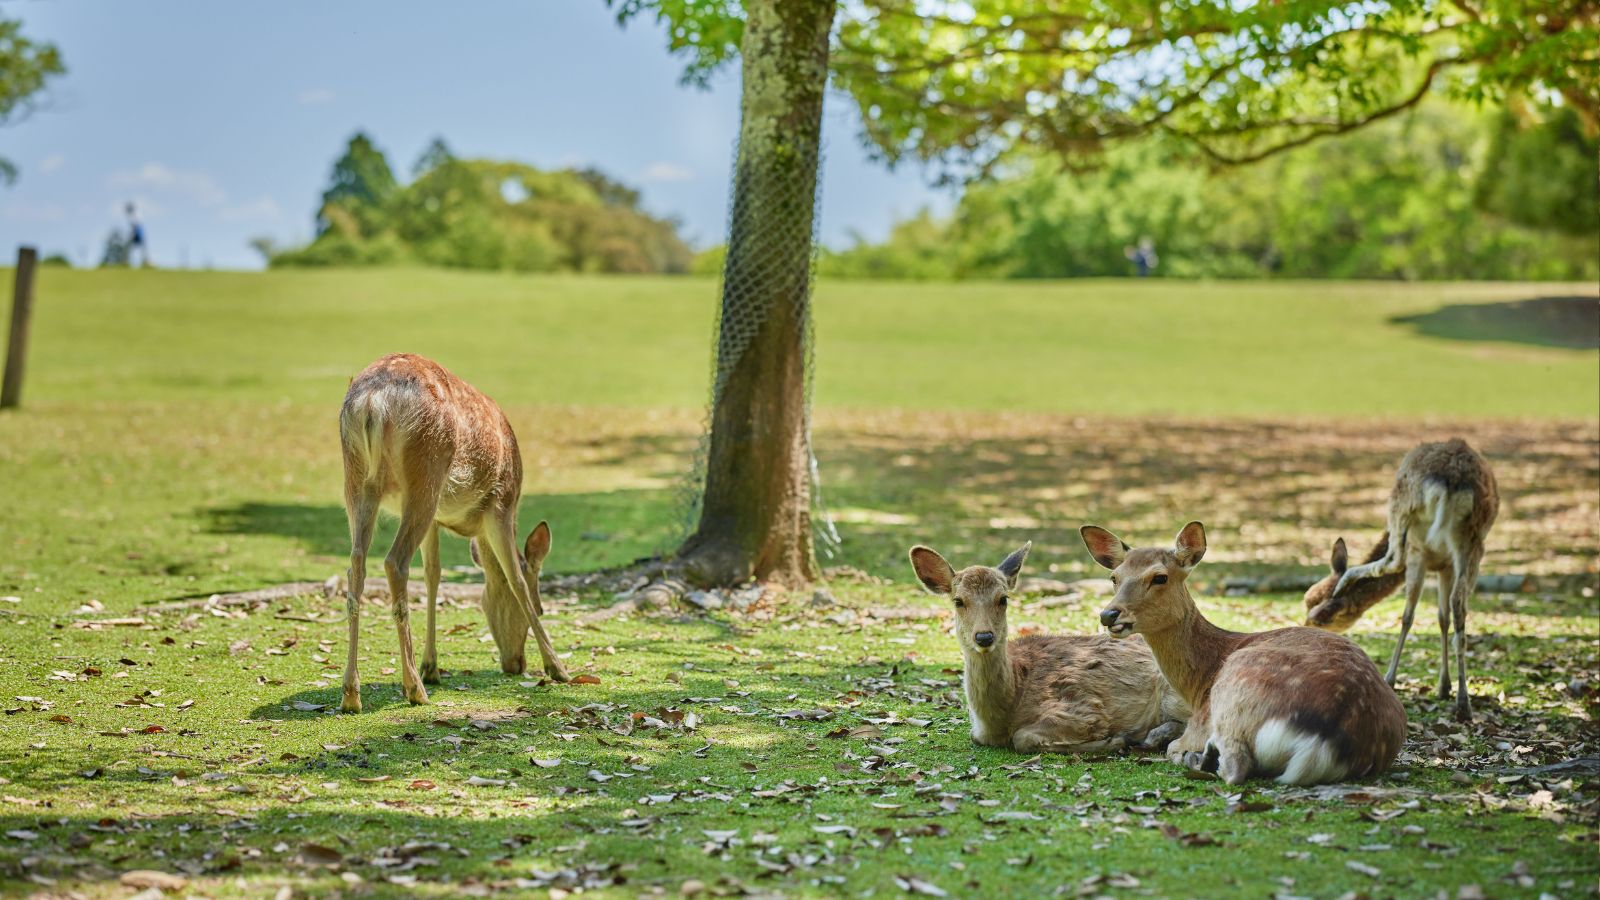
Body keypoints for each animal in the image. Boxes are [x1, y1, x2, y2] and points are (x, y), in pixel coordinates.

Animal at [334, 353, 572, 711]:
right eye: (542, 606)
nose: (516, 664)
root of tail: (373, 403)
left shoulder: (437, 521)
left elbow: (434, 575)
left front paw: (431, 666)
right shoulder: (501, 502)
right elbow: (516, 579)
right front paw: (557, 668)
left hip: (358, 480)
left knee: (356, 565)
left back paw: (352, 694)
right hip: (426, 472)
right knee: (394, 562)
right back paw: (414, 689)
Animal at [908, 538, 1196, 749]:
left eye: (1003, 599)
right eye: (958, 601)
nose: (984, 636)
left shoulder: (1083, 708)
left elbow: (1024, 738)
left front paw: (1117, 739)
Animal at [1081, 522, 1408, 781]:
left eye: (1160, 577)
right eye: (1114, 577)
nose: (1109, 615)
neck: (1198, 683)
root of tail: (1325, 741)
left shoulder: (1200, 719)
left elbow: (1176, 744)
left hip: (1235, 692)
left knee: (1235, 768)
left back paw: (1202, 759)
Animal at [1299, 438, 1497, 717]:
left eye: (1318, 620)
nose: (1304, 630)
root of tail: (1451, 481)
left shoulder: (1421, 554)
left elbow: (1408, 616)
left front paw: (1392, 679)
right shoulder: (1445, 565)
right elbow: (1442, 617)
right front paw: (1444, 687)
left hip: (1404, 512)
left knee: (1394, 560)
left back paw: (1350, 576)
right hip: (1471, 541)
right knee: (1459, 605)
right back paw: (1463, 703)